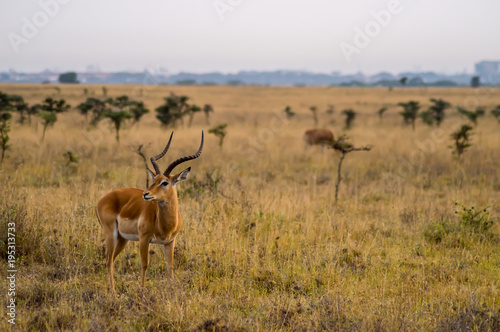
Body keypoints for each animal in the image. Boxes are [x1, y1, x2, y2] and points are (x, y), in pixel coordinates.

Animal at [96, 131, 202, 292]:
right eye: (154, 180)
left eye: (164, 182)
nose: (146, 194)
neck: (164, 224)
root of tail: (102, 200)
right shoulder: (144, 238)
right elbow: (144, 265)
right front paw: (142, 290)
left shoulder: (170, 242)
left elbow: (170, 267)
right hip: (111, 234)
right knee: (108, 261)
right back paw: (113, 292)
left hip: (122, 239)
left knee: (111, 261)